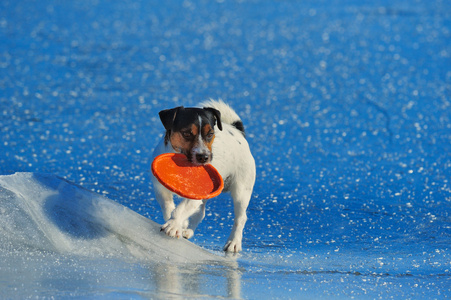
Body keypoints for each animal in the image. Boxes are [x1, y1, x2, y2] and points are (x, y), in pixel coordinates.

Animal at [152, 99, 256, 252]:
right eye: (187, 133)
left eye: (210, 134)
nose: (204, 157)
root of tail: (239, 133)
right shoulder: (160, 187)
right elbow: (168, 206)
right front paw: (179, 223)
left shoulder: (194, 196)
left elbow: (181, 209)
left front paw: (173, 225)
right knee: (200, 213)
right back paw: (187, 230)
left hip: (241, 191)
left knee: (241, 218)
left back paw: (234, 242)